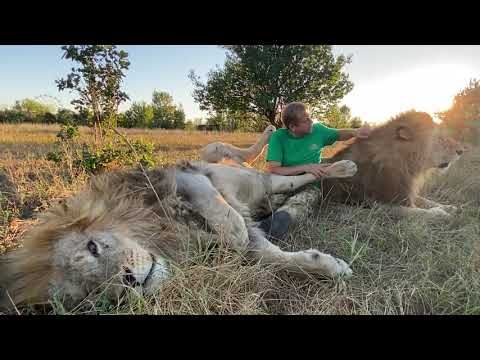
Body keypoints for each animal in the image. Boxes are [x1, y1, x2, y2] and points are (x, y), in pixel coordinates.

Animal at [0, 158, 356, 312]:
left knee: (300, 175)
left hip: (255, 179)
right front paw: (331, 266)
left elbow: (231, 222)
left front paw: (233, 234)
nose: (130, 281)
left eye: (93, 247)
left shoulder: (186, 177)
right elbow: (280, 259)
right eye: (92, 292)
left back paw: (344, 167)